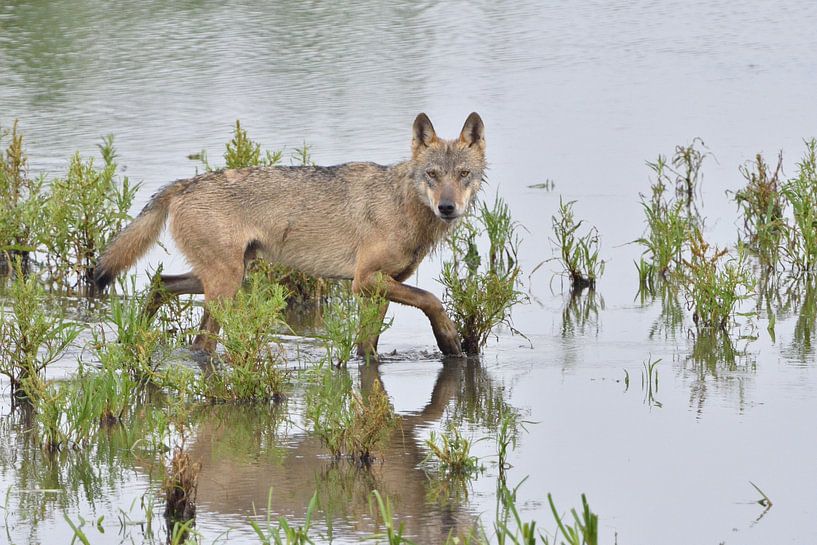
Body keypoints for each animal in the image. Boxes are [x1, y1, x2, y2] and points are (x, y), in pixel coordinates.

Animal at [94, 112, 486, 358]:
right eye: (432, 174)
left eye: (463, 174)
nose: (447, 207)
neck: (403, 204)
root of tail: (183, 184)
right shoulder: (365, 281)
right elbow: (432, 298)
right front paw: (450, 341)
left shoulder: (379, 289)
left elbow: (368, 349)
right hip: (227, 284)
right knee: (201, 341)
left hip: (225, 275)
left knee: (160, 283)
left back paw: (135, 336)